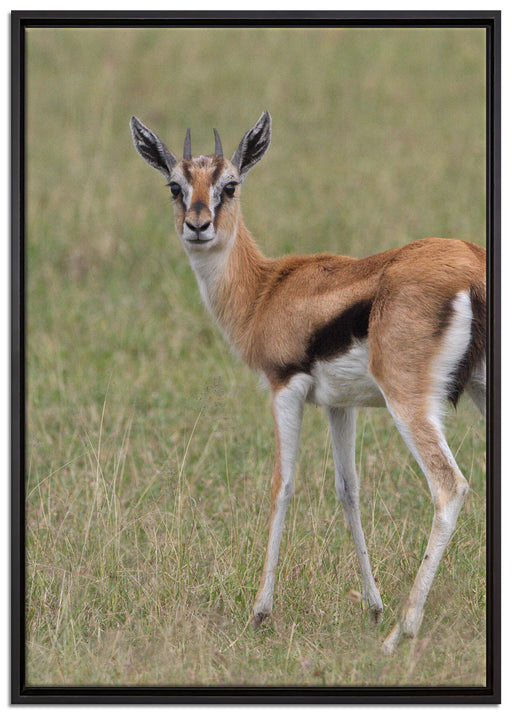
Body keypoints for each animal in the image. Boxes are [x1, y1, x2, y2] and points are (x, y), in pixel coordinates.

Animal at [130, 111, 486, 653]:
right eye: (176, 186)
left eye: (229, 185)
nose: (198, 225)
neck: (265, 291)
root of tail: (473, 267)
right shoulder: (341, 405)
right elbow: (348, 489)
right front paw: (372, 607)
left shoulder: (286, 389)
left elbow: (282, 484)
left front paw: (260, 612)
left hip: (408, 401)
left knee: (449, 488)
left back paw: (400, 634)